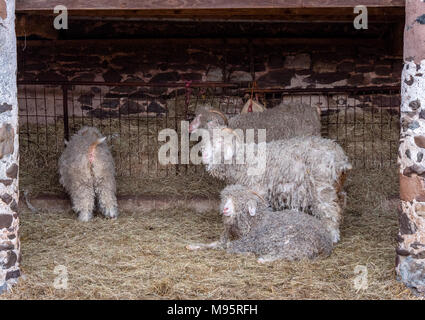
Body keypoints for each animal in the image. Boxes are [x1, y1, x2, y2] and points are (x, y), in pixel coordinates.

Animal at [187, 185, 332, 262]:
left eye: (241, 201)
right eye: (225, 199)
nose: (225, 209)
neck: (256, 222)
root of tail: (326, 242)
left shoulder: (252, 241)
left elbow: (229, 247)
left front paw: (248, 254)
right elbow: (215, 243)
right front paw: (193, 246)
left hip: (295, 241)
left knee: (292, 254)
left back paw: (263, 259)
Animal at [200, 122, 350, 242]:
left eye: (220, 142)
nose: (204, 155)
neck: (244, 159)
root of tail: (340, 156)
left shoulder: (257, 189)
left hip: (322, 188)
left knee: (330, 212)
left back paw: (332, 237)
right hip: (335, 187)